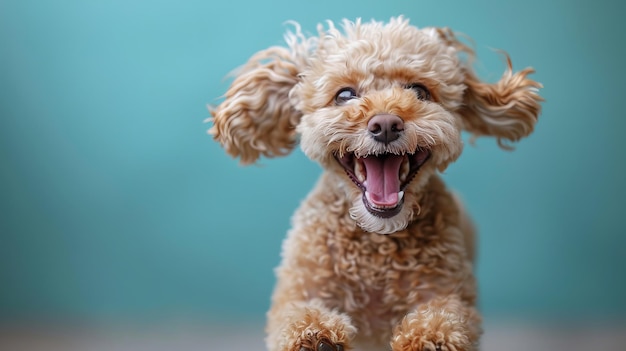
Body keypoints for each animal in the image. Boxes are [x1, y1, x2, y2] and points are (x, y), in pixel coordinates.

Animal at [210, 15, 540, 351]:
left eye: (419, 91)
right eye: (344, 95)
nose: (385, 124)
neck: (376, 244)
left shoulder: (449, 290)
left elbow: (448, 315)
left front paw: (430, 335)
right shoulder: (299, 290)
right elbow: (295, 314)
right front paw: (316, 334)